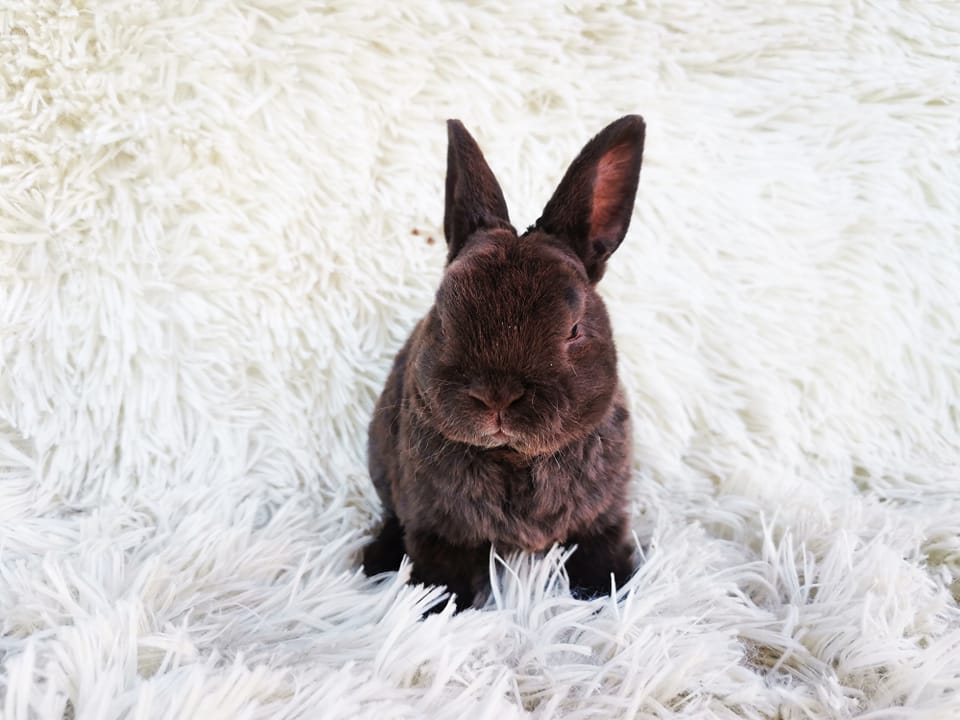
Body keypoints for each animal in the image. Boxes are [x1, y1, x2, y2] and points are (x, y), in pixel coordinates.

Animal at [362, 115, 645, 611]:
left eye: (574, 329)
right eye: (443, 318)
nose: (496, 396)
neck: (513, 457)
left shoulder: (603, 516)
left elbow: (601, 553)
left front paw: (609, 593)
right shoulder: (438, 528)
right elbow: (442, 571)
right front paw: (431, 611)